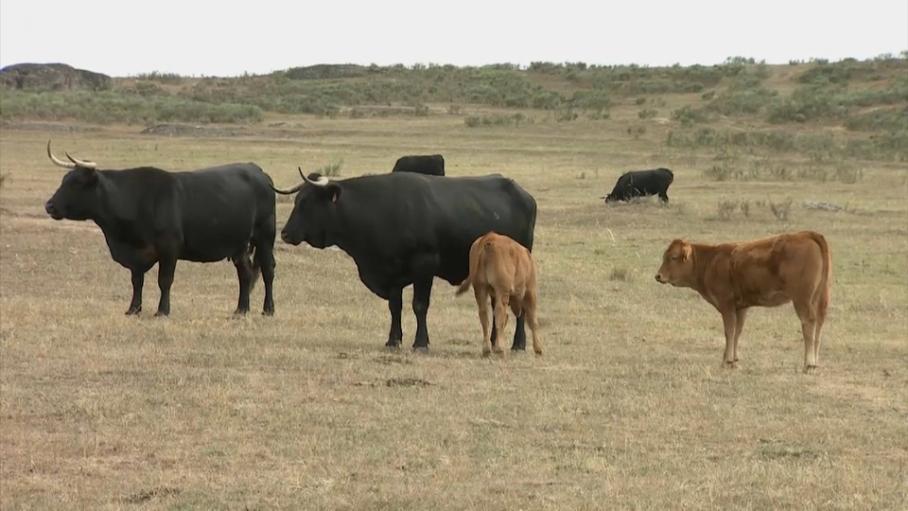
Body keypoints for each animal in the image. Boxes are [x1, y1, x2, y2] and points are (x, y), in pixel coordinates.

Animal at [43, 140, 276, 316]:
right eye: (63, 180)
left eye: (76, 183)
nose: (49, 205)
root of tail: (257, 170)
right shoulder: (137, 256)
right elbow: (137, 281)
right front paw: (133, 309)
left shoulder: (169, 249)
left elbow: (164, 280)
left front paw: (162, 311)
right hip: (239, 245)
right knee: (245, 273)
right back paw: (241, 310)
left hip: (265, 236)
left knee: (268, 270)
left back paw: (268, 309)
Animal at [274, 168, 536, 352]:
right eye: (297, 200)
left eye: (307, 202)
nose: (285, 233)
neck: (377, 210)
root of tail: (524, 195)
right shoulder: (392, 274)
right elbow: (395, 307)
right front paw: (393, 340)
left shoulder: (424, 265)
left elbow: (419, 305)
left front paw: (420, 342)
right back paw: (494, 340)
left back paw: (518, 344)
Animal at [652, 231, 828, 372]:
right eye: (664, 256)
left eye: (673, 257)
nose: (658, 276)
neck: (710, 261)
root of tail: (806, 234)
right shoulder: (741, 307)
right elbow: (737, 331)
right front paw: (733, 361)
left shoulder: (726, 305)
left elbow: (729, 331)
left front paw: (727, 361)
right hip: (819, 299)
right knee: (819, 324)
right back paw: (816, 362)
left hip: (802, 300)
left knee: (808, 324)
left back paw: (809, 364)